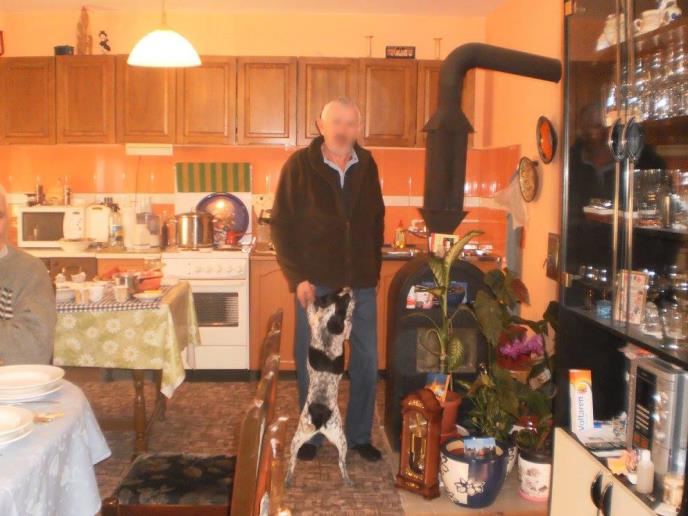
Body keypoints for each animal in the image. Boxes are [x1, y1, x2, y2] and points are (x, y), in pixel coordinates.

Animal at [286, 288, 355, 487]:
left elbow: (312, 312)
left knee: (293, 461)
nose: (349, 289)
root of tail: (319, 416)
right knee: (341, 462)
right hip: (334, 438)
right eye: (340, 294)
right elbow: (346, 325)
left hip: (305, 436)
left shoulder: (317, 321)